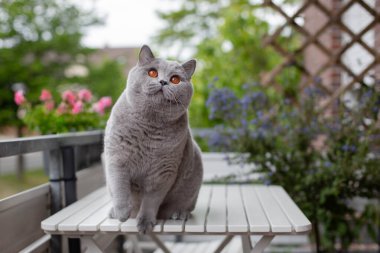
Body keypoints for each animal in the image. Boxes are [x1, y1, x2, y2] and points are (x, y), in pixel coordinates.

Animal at [104, 45, 203, 233]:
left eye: (175, 79)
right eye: (152, 73)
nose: (163, 82)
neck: (149, 125)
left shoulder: (163, 172)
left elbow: (151, 201)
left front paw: (145, 223)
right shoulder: (117, 157)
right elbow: (120, 187)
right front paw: (122, 213)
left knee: (185, 205)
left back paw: (179, 214)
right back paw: (114, 212)